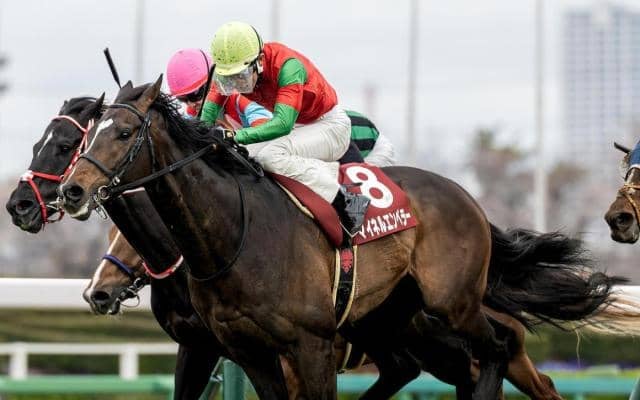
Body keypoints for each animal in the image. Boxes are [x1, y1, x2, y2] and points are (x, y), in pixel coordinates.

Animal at [58, 77, 634, 399]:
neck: (233, 237)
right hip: (395, 319)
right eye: (88, 135)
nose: (71, 189)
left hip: (450, 305)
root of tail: (467, 198)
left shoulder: (311, 347)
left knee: (496, 350)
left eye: (124, 133)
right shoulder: (246, 354)